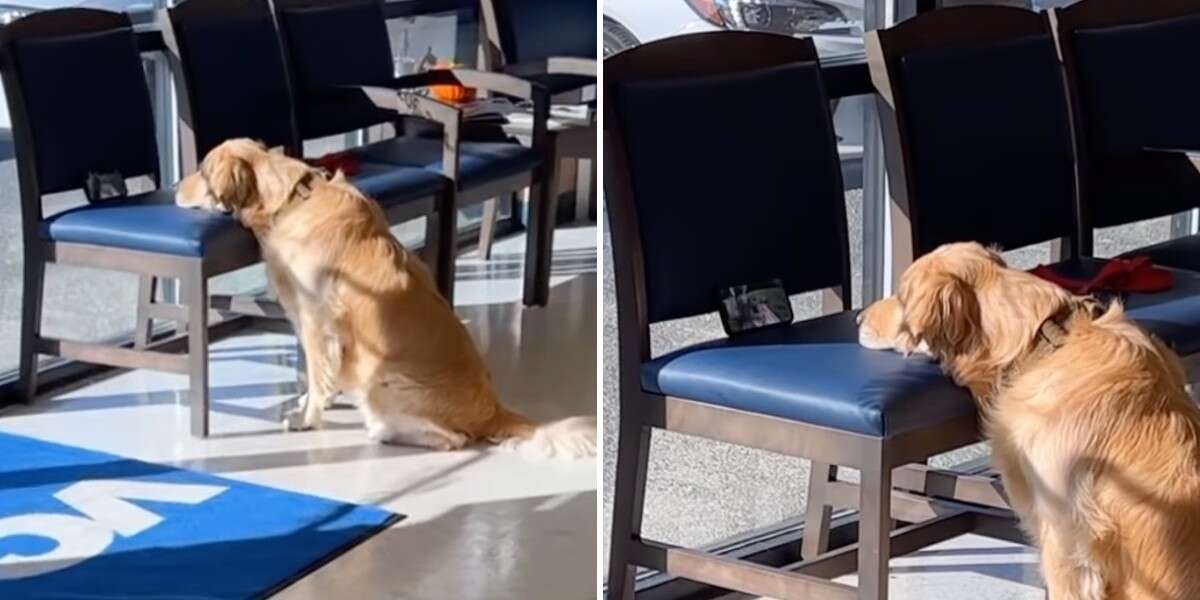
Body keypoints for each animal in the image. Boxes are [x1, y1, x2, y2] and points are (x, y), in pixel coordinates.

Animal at [174, 140, 595, 458]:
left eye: (201, 170)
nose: (175, 187)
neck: (293, 200)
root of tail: (494, 411)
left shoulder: (316, 319)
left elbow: (317, 372)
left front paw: (306, 417)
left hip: (381, 379)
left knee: (453, 439)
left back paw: (382, 431)